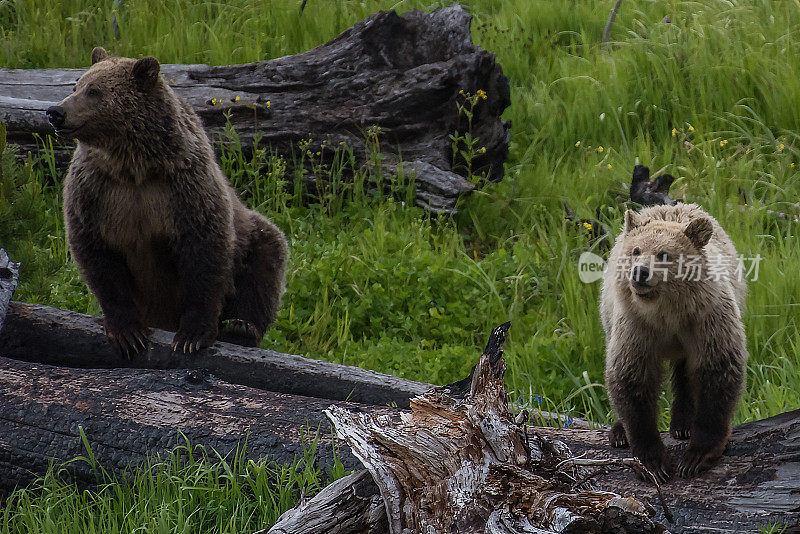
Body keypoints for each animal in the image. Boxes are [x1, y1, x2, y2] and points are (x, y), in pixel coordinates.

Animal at [46, 46, 288, 356]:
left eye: (93, 91)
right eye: (75, 85)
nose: (56, 112)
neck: (133, 167)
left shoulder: (184, 189)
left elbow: (205, 253)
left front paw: (192, 335)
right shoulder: (94, 192)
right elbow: (98, 258)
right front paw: (128, 333)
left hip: (250, 235)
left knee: (263, 262)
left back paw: (241, 327)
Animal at [604, 203, 748, 484]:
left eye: (664, 254)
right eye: (636, 250)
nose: (640, 272)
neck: (668, 312)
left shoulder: (707, 318)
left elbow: (718, 370)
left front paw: (697, 456)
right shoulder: (636, 326)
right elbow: (630, 377)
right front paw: (653, 462)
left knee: (685, 371)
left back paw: (683, 423)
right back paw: (619, 431)